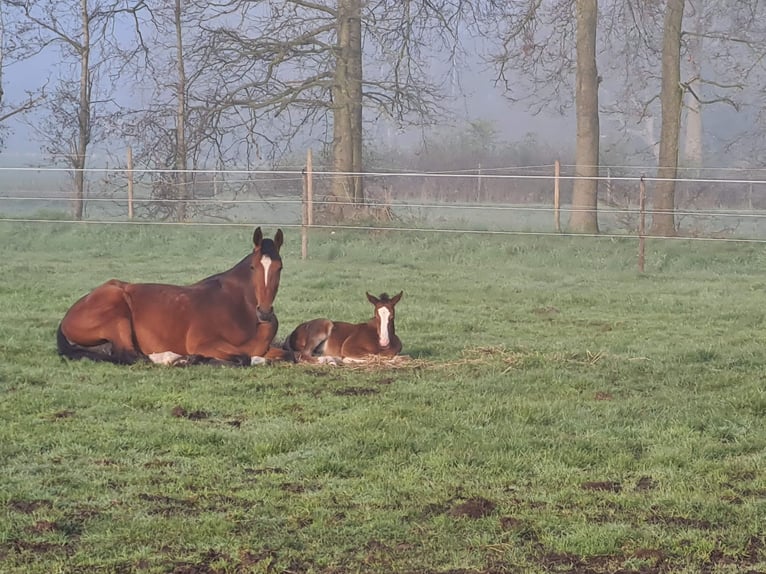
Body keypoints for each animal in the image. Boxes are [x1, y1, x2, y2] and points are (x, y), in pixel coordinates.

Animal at [56, 227, 293, 366]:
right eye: (253, 267)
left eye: (280, 267)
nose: (264, 312)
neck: (240, 310)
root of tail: (68, 315)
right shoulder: (203, 343)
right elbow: (242, 358)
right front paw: (195, 358)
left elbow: (286, 354)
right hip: (116, 310)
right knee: (130, 355)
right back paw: (174, 358)